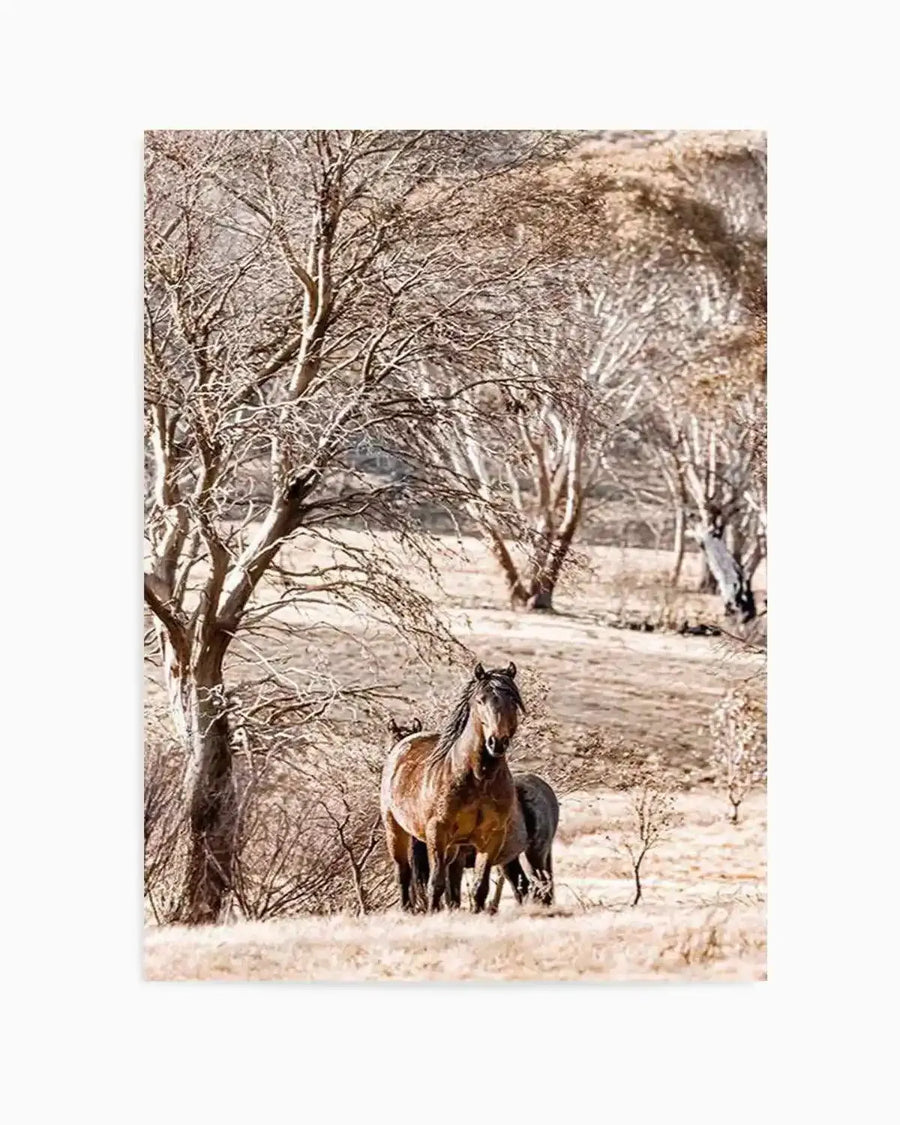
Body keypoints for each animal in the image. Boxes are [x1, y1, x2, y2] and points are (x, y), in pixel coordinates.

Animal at [380, 661, 525, 912]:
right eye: (481, 700)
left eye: (513, 701)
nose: (497, 742)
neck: (478, 777)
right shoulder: (437, 833)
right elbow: (436, 883)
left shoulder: (492, 837)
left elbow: (479, 887)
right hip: (396, 831)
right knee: (403, 873)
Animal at [410, 772, 559, 911]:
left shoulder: (456, 860)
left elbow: (452, 893)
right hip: (510, 860)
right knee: (523, 886)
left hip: (534, 854)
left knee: (541, 884)